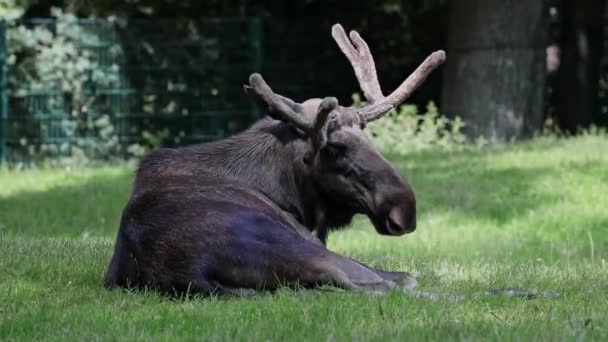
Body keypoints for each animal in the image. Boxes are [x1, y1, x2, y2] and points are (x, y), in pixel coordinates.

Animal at [103, 23, 446, 296]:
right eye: (333, 148)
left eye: (367, 137)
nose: (404, 210)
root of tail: (190, 275)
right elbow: (406, 277)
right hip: (305, 249)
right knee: (387, 285)